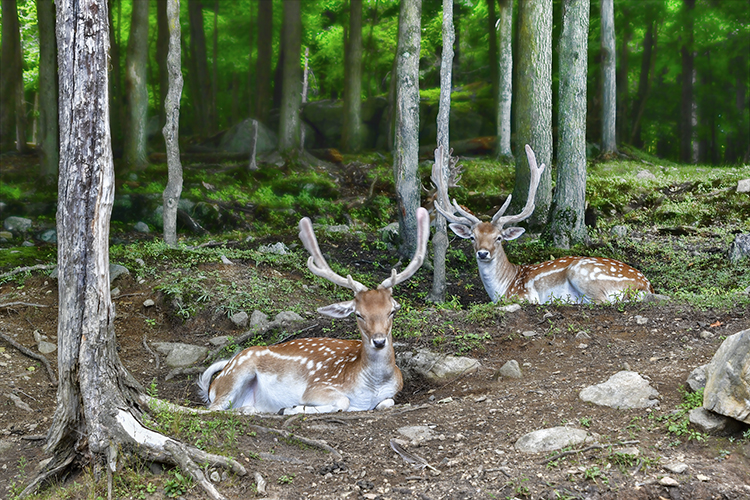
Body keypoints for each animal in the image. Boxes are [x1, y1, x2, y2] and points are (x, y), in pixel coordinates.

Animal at [197, 207, 432, 414]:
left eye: (391, 311)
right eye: (358, 314)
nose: (379, 341)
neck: (370, 388)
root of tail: (216, 381)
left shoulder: (392, 393)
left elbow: (386, 403)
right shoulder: (316, 387)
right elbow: (343, 401)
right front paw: (292, 408)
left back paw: (251, 410)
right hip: (236, 374)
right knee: (208, 409)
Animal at [432, 145, 656, 304]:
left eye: (499, 237)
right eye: (472, 237)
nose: (483, 253)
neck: (503, 287)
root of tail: (646, 285)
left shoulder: (524, 296)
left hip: (583, 273)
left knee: (601, 301)